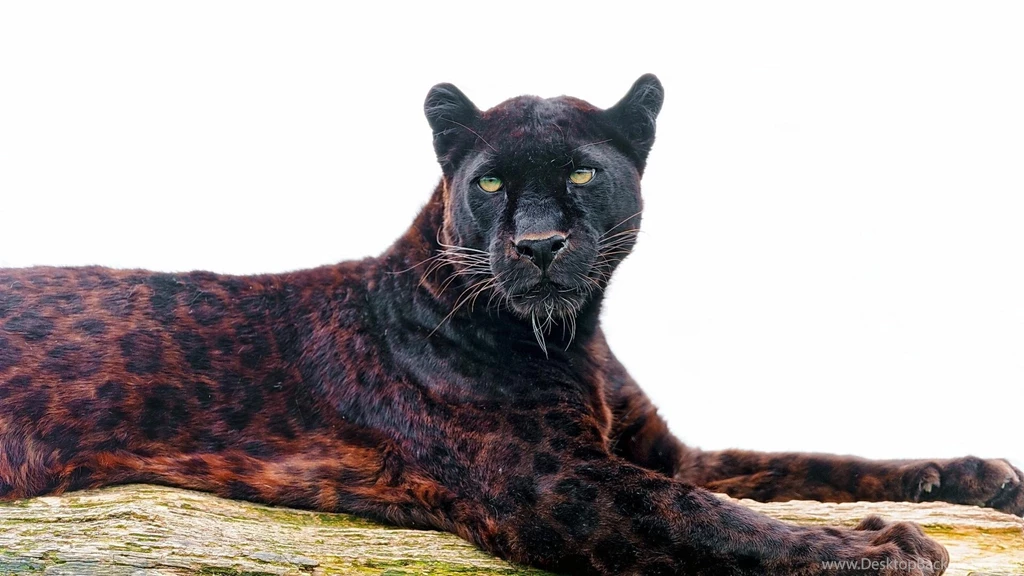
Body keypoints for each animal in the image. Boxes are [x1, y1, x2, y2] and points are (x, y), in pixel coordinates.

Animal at [0, 74, 1021, 576]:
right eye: (491, 179)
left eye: (580, 173)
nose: (535, 244)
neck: (577, 338)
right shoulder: (556, 484)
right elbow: (714, 517)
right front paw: (881, 547)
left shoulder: (659, 450)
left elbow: (811, 462)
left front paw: (976, 477)